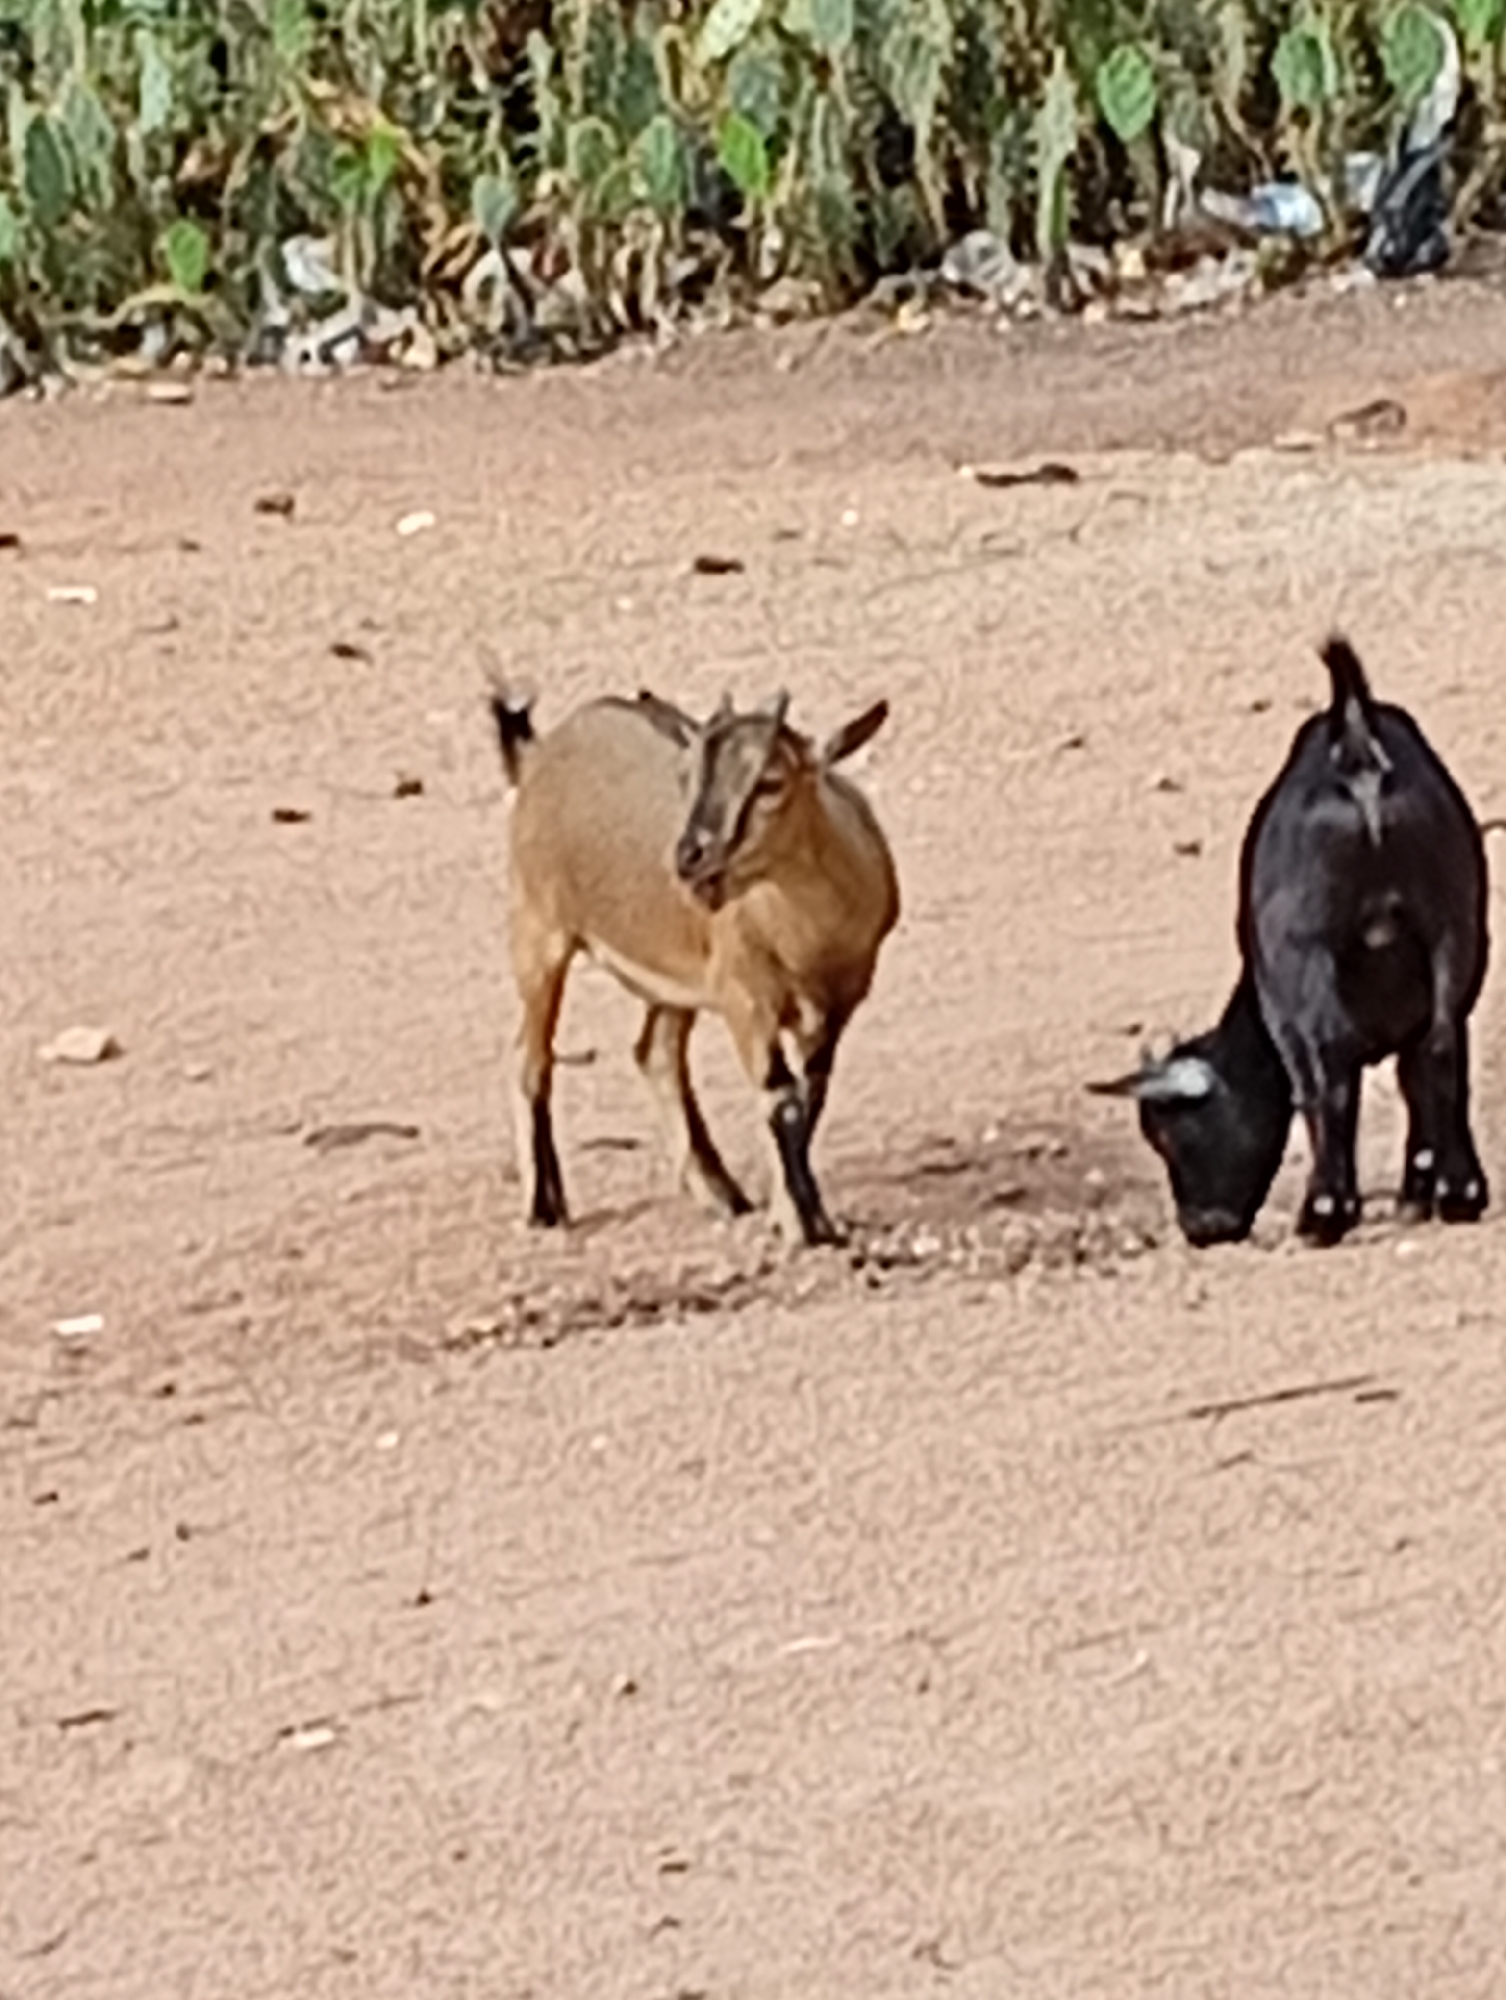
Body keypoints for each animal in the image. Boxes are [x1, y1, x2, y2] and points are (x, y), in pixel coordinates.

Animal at [490, 683, 899, 1246]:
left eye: (770, 782)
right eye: (686, 776)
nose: (690, 858)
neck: (808, 935)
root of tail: (539, 754)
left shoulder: (840, 1001)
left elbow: (810, 1095)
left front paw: (792, 1216)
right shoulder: (746, 997)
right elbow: (780, 1097)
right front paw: (806, 1227)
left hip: (670, 980)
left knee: (654, 1051)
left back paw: (723, 1195)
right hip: (539, 930)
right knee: (531, 1057)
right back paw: (542, 1208)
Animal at [1091, 635, 1490, 1247]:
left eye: (1168, 1135)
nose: (1201, 1228)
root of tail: (1354, 748)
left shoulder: (1284, 1008)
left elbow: (1317, 1085)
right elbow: (1417, 1076)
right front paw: (1417, 1195)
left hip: (1308, 953)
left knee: (1335, 1065)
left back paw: (1323, 1212)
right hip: (1454, 926)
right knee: (1443, 1048)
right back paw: (1463, 1194)